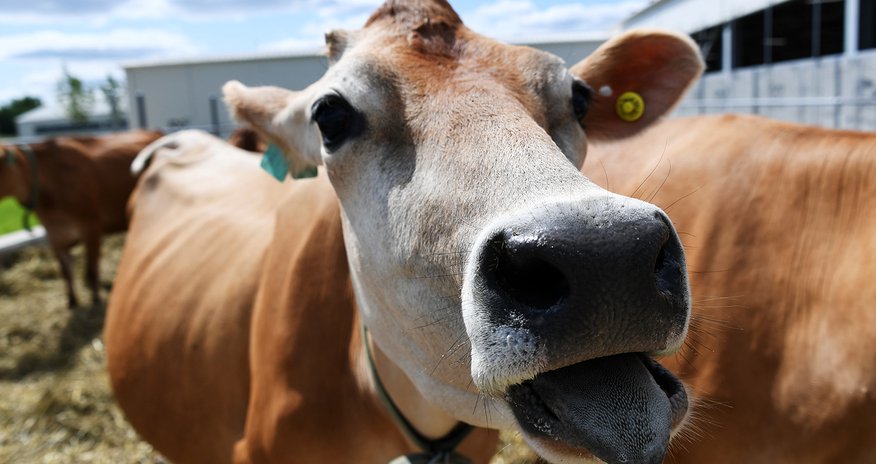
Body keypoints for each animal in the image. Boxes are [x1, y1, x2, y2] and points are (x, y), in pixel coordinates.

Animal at [0, 129, 163, 308]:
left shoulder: (92, 227)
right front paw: (72, 301)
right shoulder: (55, 236)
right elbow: (65, 272)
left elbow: (90, 271)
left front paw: (96, 300)